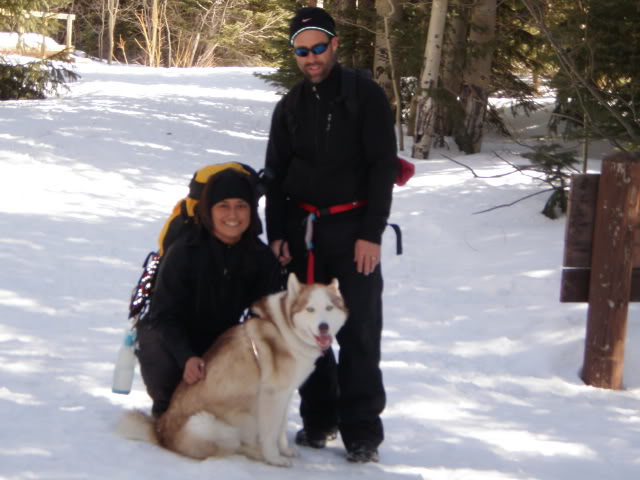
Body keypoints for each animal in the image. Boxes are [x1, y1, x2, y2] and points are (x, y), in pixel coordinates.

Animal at [120, 274, 350, 464]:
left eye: (329, 308)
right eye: (310, 309)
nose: (323, 327)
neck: (285, 329)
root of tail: (161, 433)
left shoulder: (285, 394)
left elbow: (281, 429)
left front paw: (284, 450)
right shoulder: (271, 395)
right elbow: (270, 433)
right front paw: (274, 458)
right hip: (209, 424)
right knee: (233, 449)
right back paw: (257, 453)